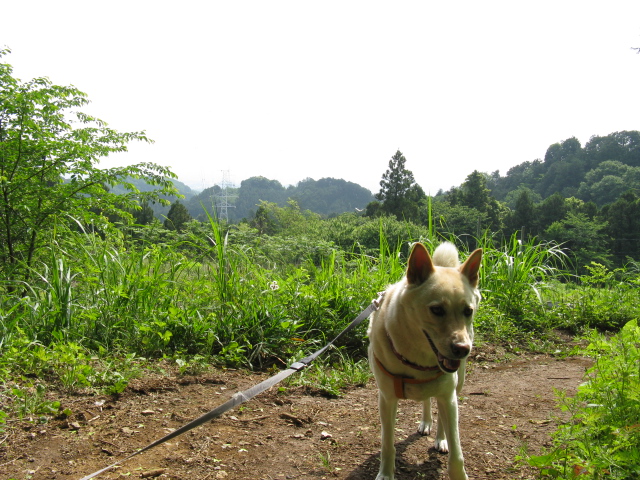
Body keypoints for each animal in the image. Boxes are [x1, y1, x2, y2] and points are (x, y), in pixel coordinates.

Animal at [368, 242, 482, 480]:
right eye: (436, 309)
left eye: (468, 311)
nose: (462, 349)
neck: (417, 360)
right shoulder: (386, 399)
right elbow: (387, 444)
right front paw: (386, 473)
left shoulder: (449, 396)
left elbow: (457, 453)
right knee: (428, 400)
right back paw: (426, 422)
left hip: (456, 387)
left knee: (441, 411)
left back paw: (440, 438)